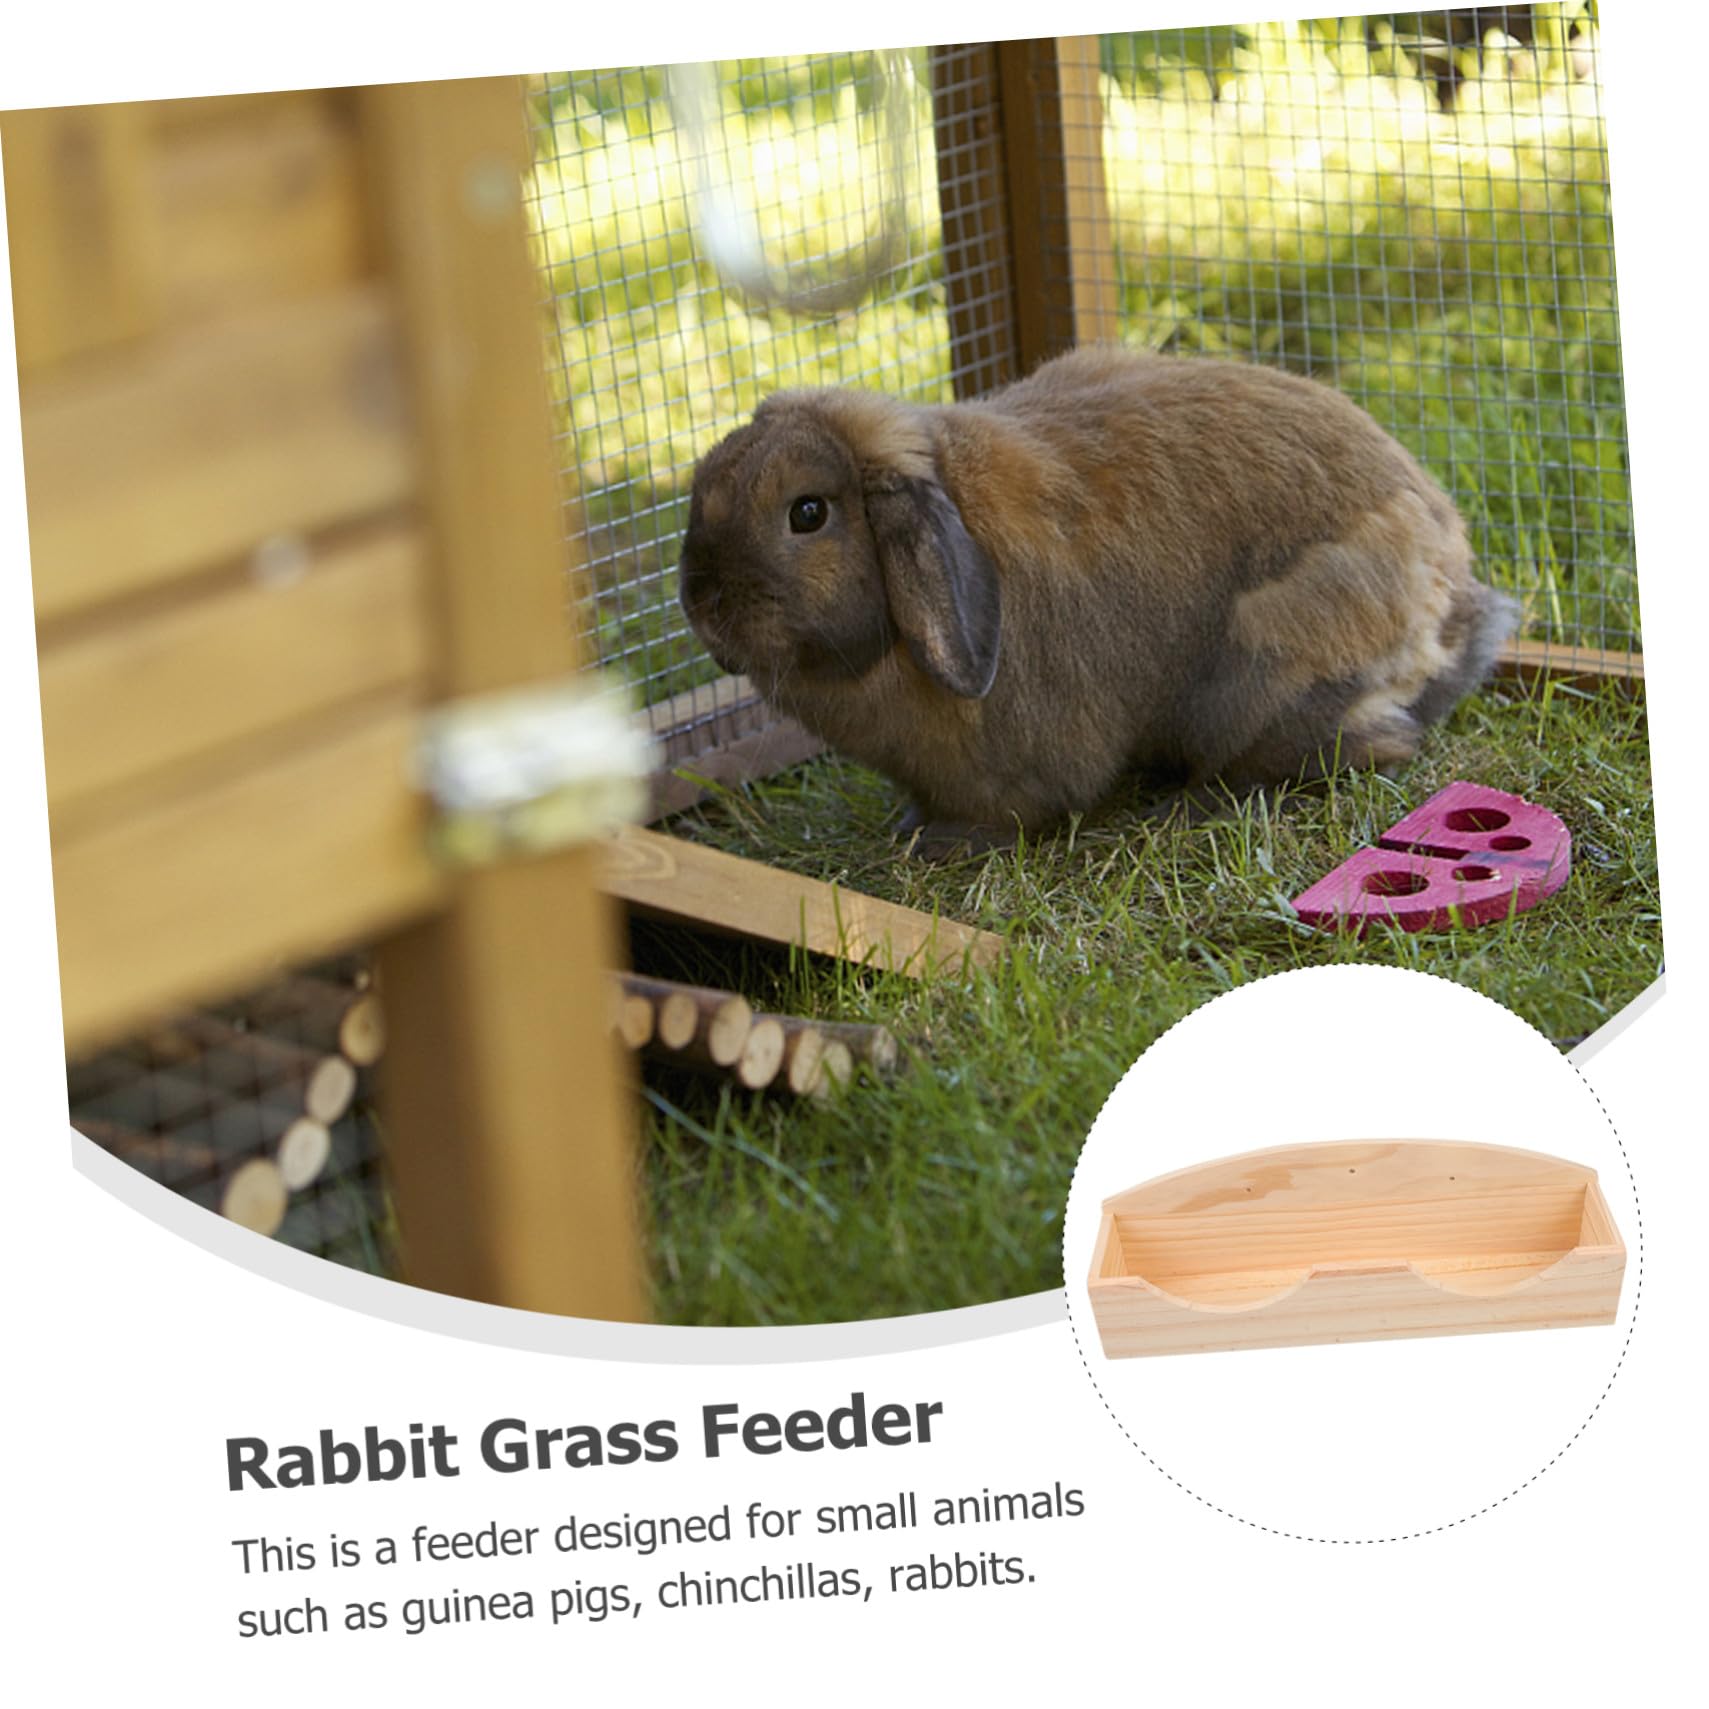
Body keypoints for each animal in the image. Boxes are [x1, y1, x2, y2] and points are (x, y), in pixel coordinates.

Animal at [677, 344, 1517, 849]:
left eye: (807, 513)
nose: (701, 604)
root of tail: (1453, 599)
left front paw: (941, 843)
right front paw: (908, 824)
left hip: (1268, 669)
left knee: (1369, 746)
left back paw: (1195, 804)